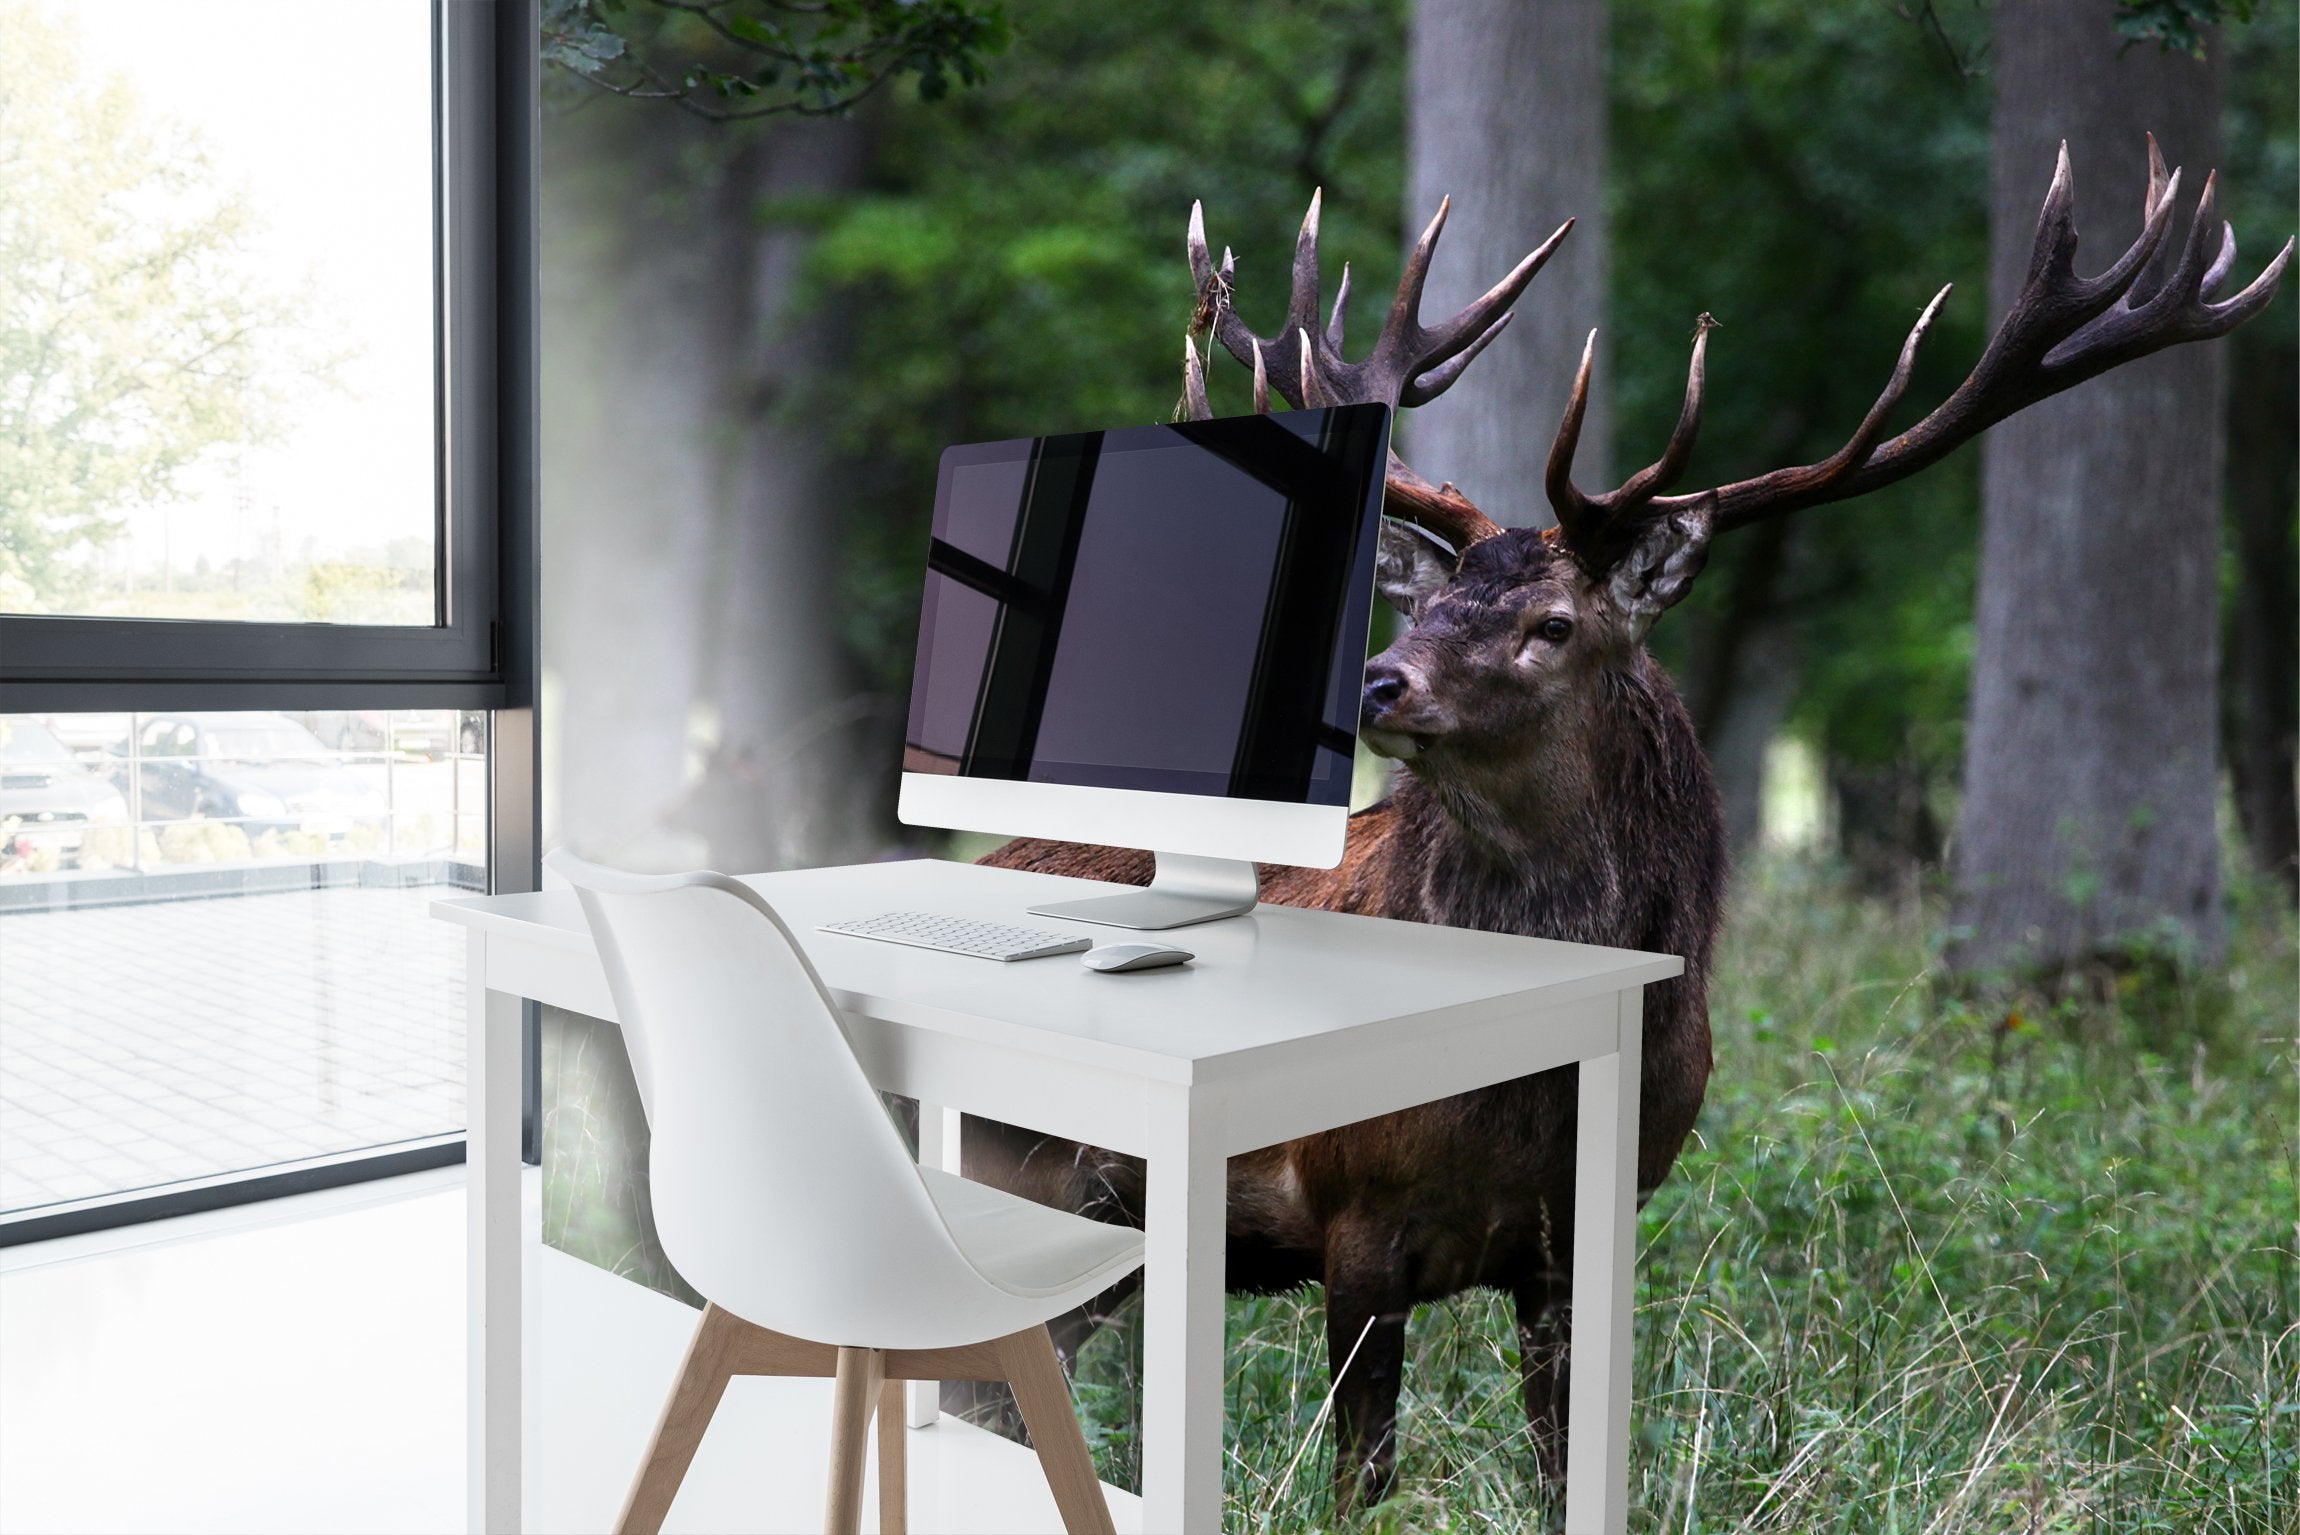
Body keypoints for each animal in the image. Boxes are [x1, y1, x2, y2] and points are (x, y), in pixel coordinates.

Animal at [948, 137, 2290, 1511]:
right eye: (1430, 605)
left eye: (1551, 623)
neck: (1525, 1099)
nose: (1376, 681)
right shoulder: (1353, 1212)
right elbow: (1362, 1476)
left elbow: (1556, 1470)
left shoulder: (1581, 1233)